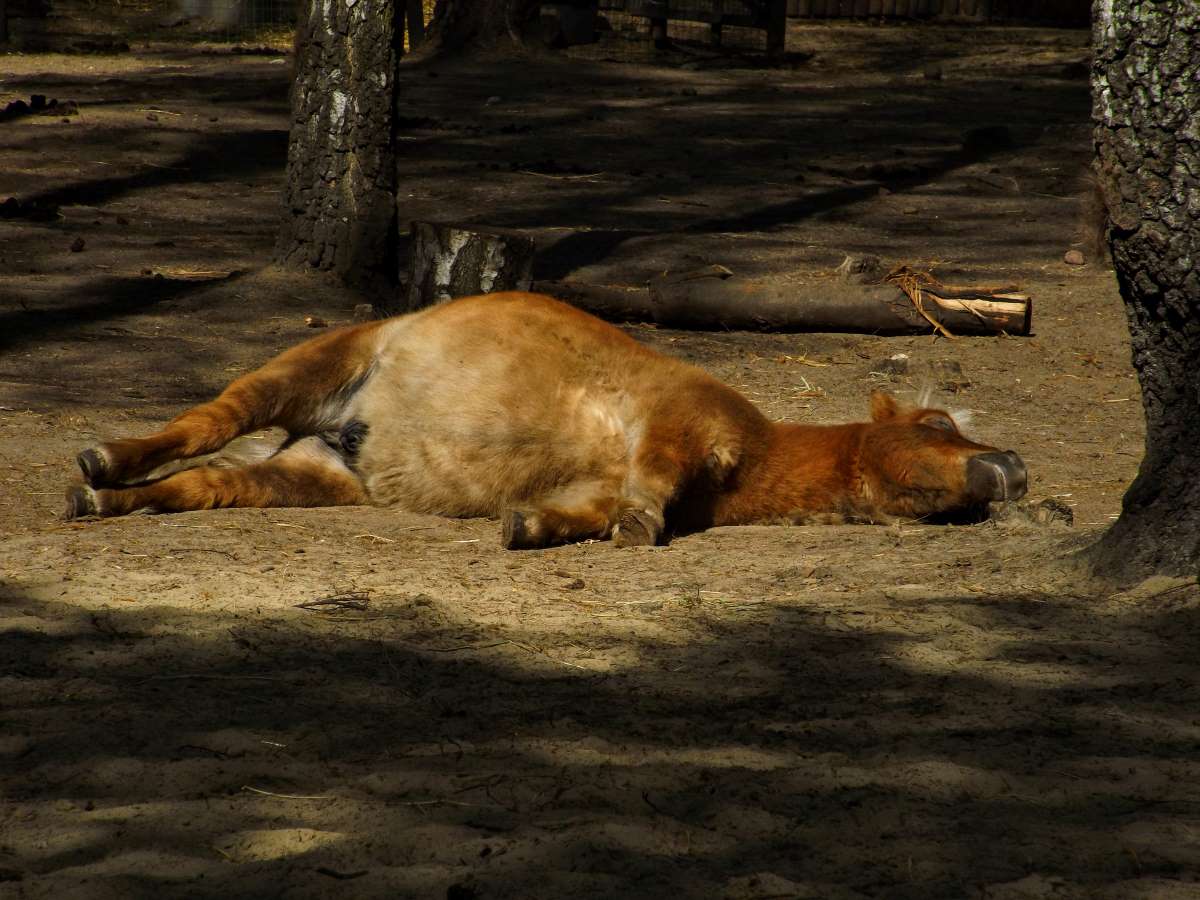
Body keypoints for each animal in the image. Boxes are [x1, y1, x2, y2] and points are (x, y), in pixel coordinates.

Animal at [63, 294, 1022, 549]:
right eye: (939, 424)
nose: (1011, 466)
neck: (751, 456)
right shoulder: (677, 421)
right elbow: (650, 486)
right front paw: (633, 531)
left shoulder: (602, 479)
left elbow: (593, 510)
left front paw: (530, 527)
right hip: (306, 370)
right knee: (203, 424)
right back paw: (102, 462)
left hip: (307, 477)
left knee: (198, 485)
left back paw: (100, 503)